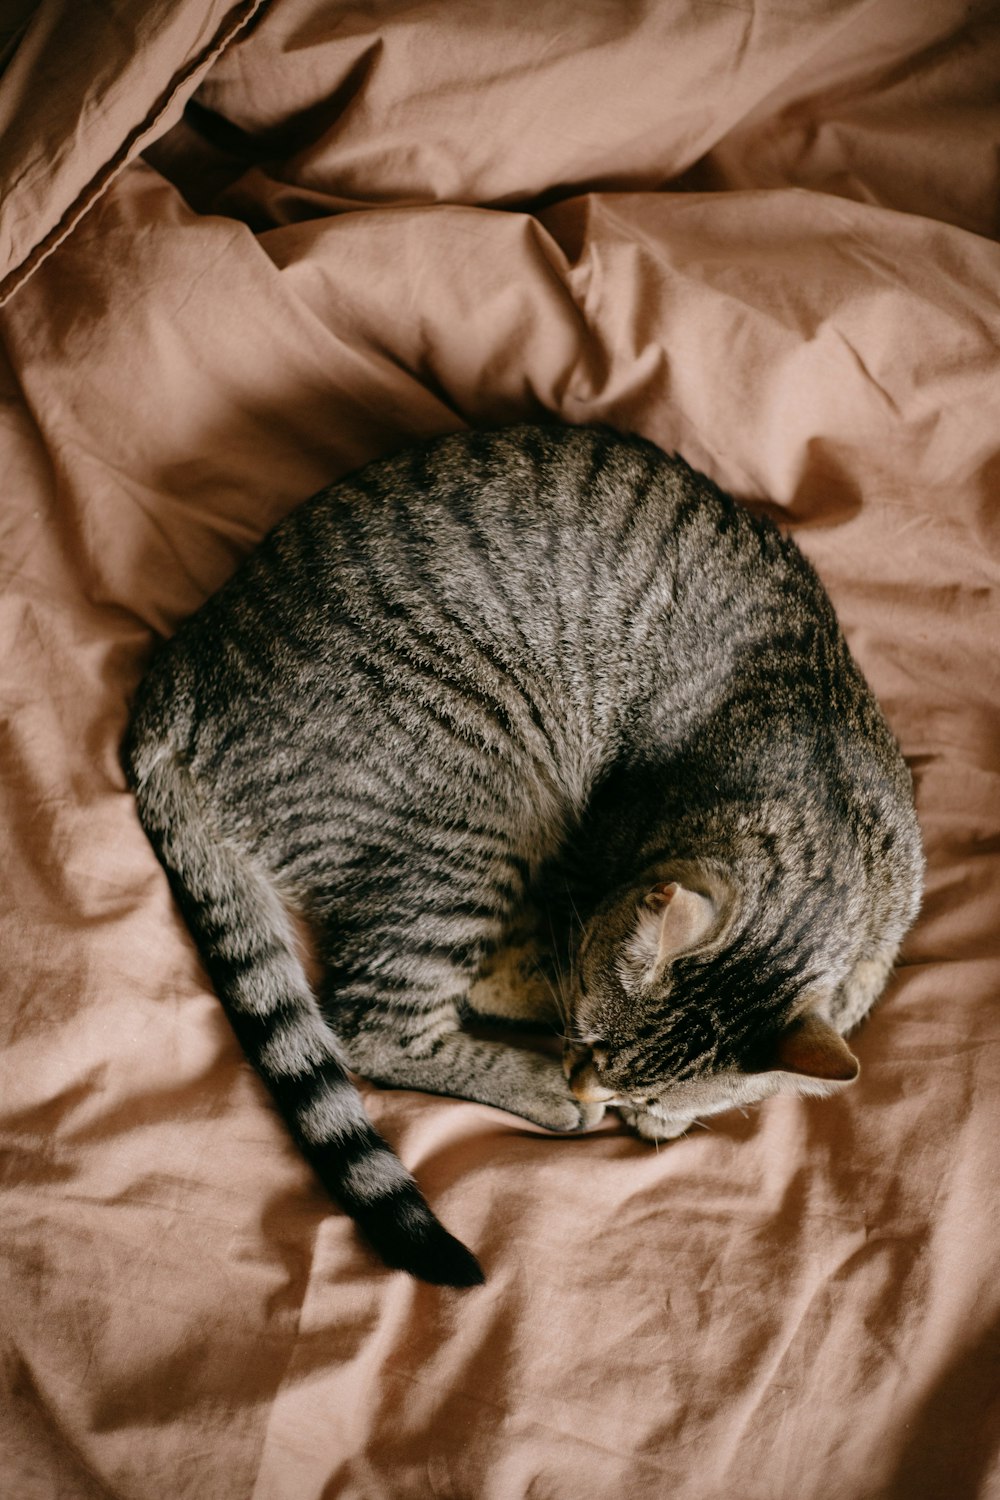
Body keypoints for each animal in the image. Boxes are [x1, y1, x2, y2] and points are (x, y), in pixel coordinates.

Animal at [122, 426, 923, 1290]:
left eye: (643, 1094)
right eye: (589, 1045)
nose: (589, 1089)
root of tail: (181, 675)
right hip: (478, 815)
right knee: (369, 1028)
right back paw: (527, 1081)